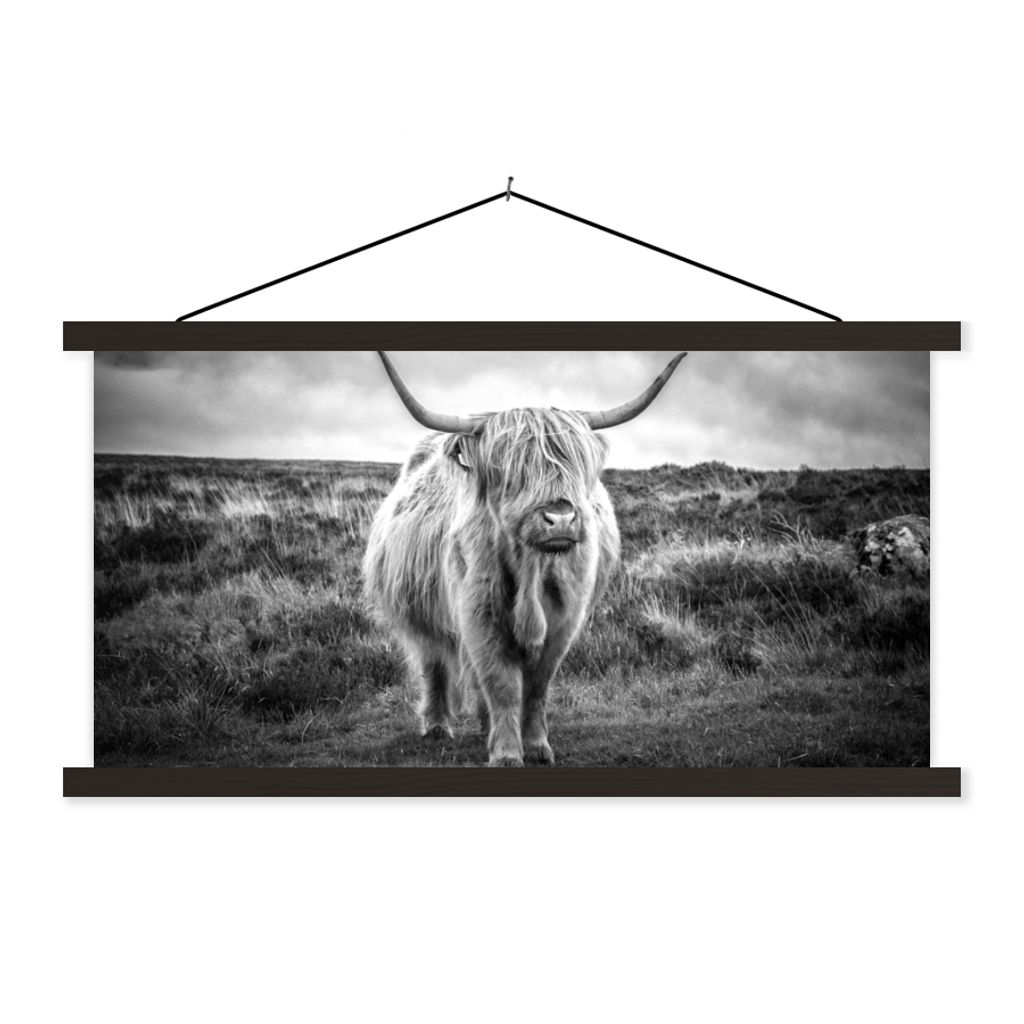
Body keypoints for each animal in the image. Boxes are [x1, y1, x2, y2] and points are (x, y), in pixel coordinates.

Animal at [362, 351, 686, 766]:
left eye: (575, 464)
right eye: (512, 470)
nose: (560, 518)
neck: (532, 570)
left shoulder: (565, 620)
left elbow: (536, 686)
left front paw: (535, 745)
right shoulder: (478, 614)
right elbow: (500, 683)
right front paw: (505, 752)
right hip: (420, 612)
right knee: (434, 662)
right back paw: (436, 726)